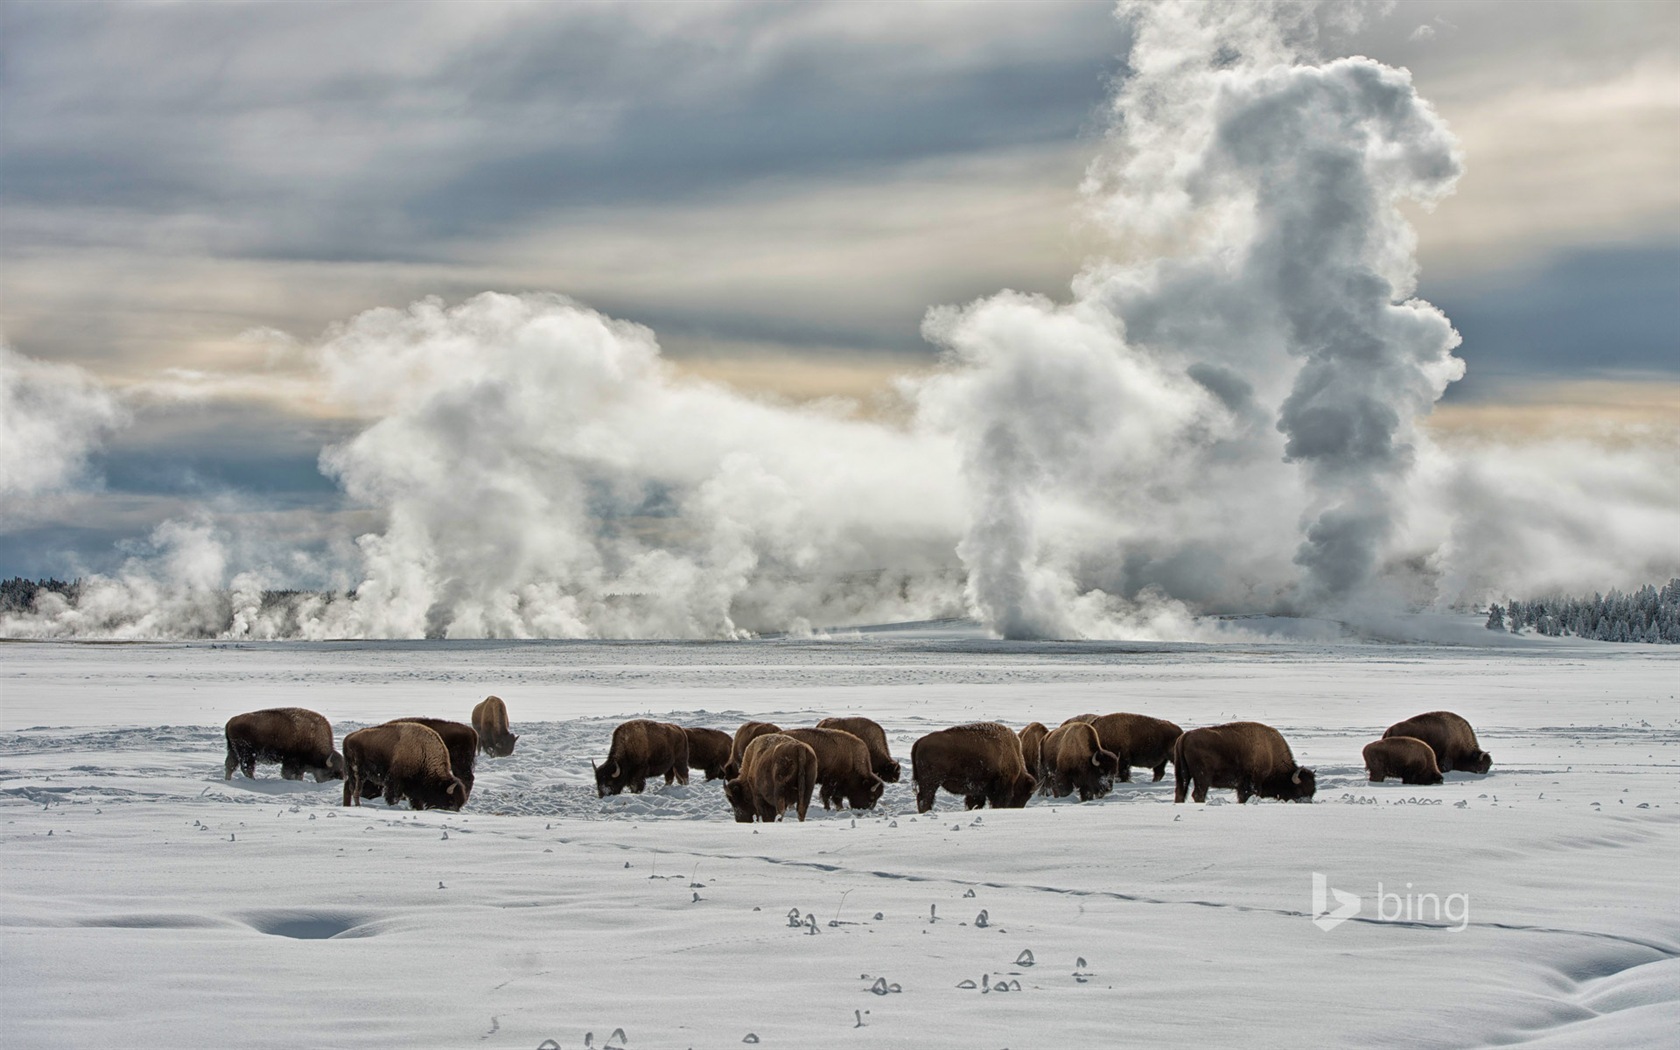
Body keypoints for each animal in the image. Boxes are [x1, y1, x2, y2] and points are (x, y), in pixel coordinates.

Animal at [339, 719, 467, 809]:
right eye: (450, 800)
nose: (454, 810)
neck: (423, 751)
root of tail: (348, 738)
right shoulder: (395, 781)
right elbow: (394, 797)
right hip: (358, 773)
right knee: (355, 790)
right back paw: (357, 806)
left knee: (348, 788)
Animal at [913, 725, 1041, 816]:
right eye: (1022, 794)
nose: (1017, 808)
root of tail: (920, 741)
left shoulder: (977, 791)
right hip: (931, 782)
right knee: (925, 799)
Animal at [1169, 719, 1310, 803]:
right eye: (1299, 790)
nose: (1307, 801)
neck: (1270, 751)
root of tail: (1184, 736)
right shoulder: (1254, 782)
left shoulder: (1241, 786)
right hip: (1202, 778)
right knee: (1198, 794)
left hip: (1182, 775)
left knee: (1180, 792)